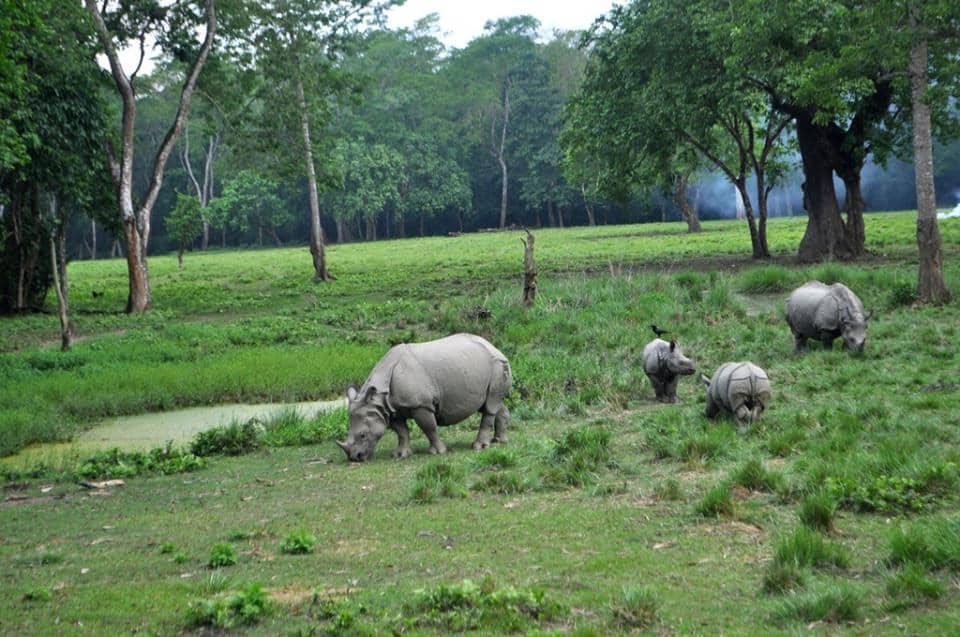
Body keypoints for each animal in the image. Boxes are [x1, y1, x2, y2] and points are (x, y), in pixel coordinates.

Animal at [337, 333, 512, 462]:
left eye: (363, 435)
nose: (355, 458)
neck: (378, 397)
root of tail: (496, 348)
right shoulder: (391, 409)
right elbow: (402, 432)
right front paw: (400, 455)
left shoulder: (421, 405)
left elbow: (429, 428)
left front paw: (438, 452)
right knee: (492, 403)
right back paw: (499, 441)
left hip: (497, 365)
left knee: (490, 406)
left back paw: (479, 447)